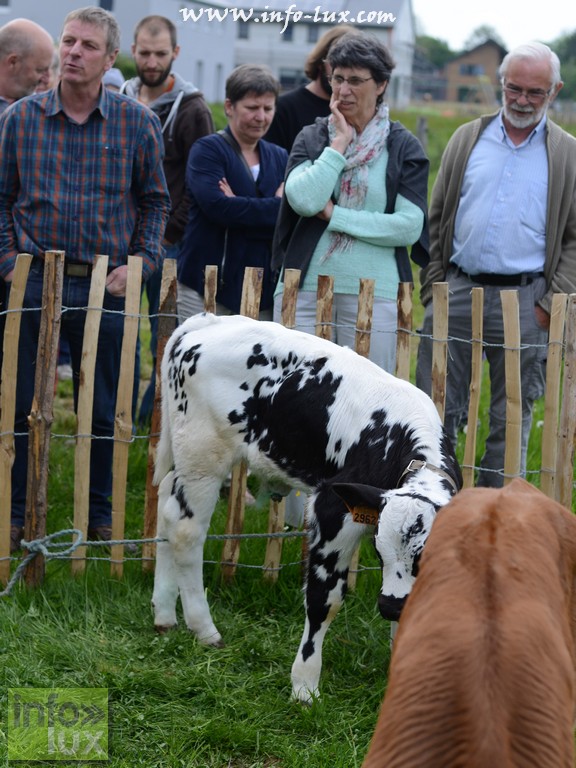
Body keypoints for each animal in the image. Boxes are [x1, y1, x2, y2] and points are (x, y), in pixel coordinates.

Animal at [153, 310, 464, 704]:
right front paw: (304, 686)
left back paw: (164, 614)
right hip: (203, 455)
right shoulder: (331, 513)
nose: (389, 606)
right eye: (379, 552)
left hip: (185, 458)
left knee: (166, 503)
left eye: (424, 556)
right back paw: (204, 628)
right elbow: (324, 601)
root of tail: (208, 322)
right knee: (185, 530)